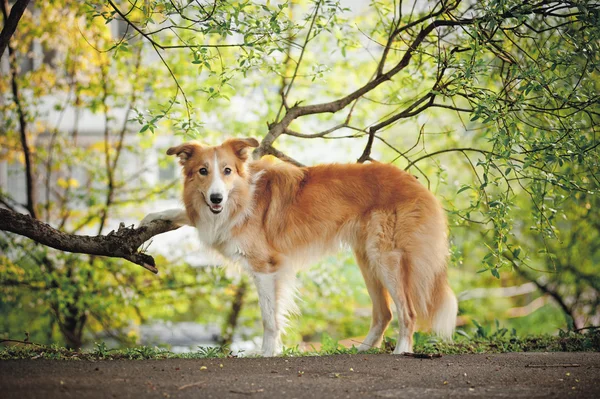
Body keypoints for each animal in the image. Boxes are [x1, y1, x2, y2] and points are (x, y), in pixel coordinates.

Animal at [141, 138, 458, 356]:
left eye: (227, 170)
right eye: (203, 171)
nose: (216, 198)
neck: (241, 197)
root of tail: (415, 183)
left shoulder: (265, 267)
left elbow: (269, 318)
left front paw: (267, 353)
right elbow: (184, 213)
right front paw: (148, 218)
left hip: (386, 259)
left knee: (408, 312)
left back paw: (403, 350)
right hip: (367, 260)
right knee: (385, 313)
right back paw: (364, 348)